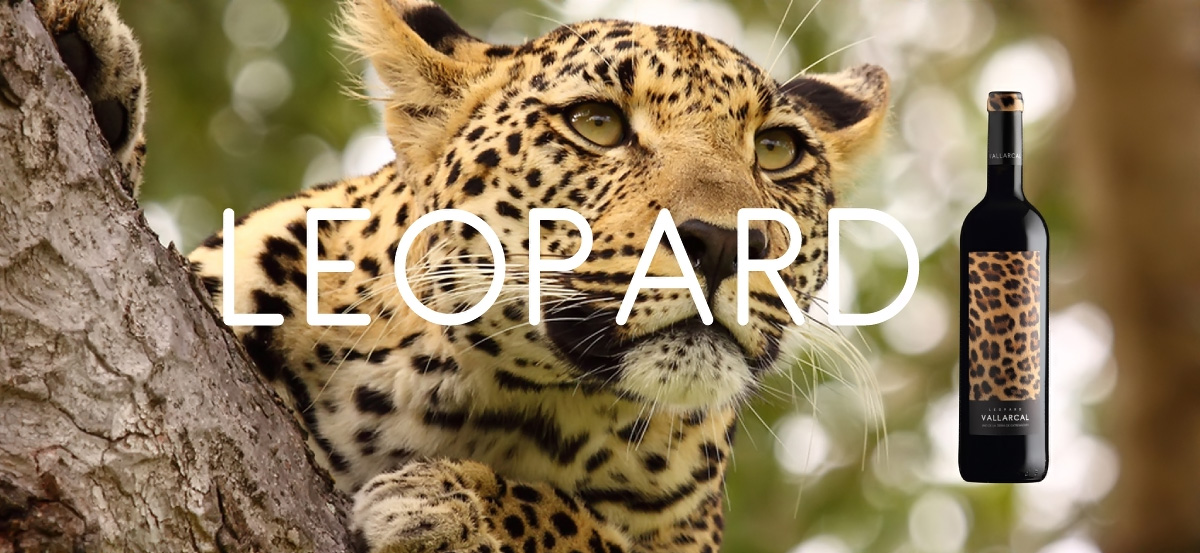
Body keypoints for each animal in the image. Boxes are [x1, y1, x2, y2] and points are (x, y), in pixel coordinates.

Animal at [34, 0, 891, 551]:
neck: (479, 396)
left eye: (777, 150)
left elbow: (589, 532)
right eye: (597, 123)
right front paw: (89, 67)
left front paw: (459, 504)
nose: (724, 243)